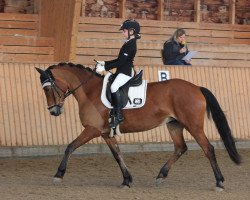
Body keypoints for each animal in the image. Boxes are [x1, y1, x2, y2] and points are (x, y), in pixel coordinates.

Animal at [35, 63, 240, 191]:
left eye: (47, 88)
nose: (54, 111)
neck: (90, 91)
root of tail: (197, 88)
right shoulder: (105, 133)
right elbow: (117, 155)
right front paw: (127, 180)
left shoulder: (92, 130)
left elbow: (70, 147)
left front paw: (59, 174)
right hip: (174, 125)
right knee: (180, 148)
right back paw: (160, 176)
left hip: (193, 125)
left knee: (208, 148)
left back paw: (219, 182)